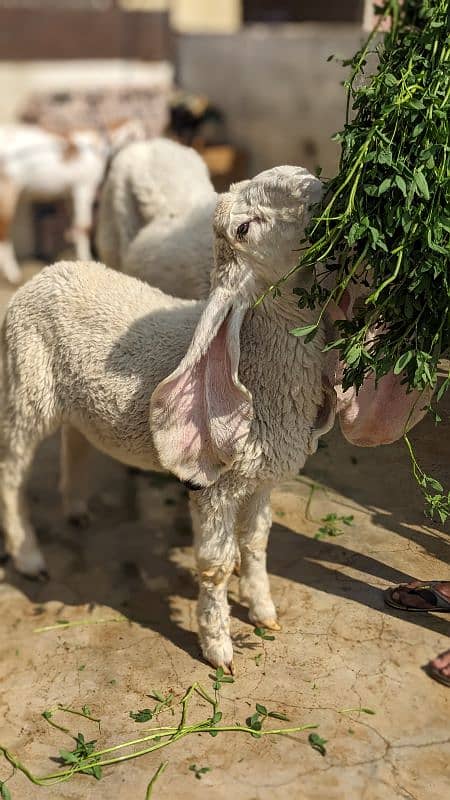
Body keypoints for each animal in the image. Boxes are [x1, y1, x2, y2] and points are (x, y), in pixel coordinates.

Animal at [0, 117, 144, 282]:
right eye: (139, 137)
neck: (97, 144)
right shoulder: (84, 187)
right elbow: (84, 226)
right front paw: (87, 259)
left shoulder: (70, 193)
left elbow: (75, 226)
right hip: (7, 191)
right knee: (4, 231)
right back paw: (12, 274)